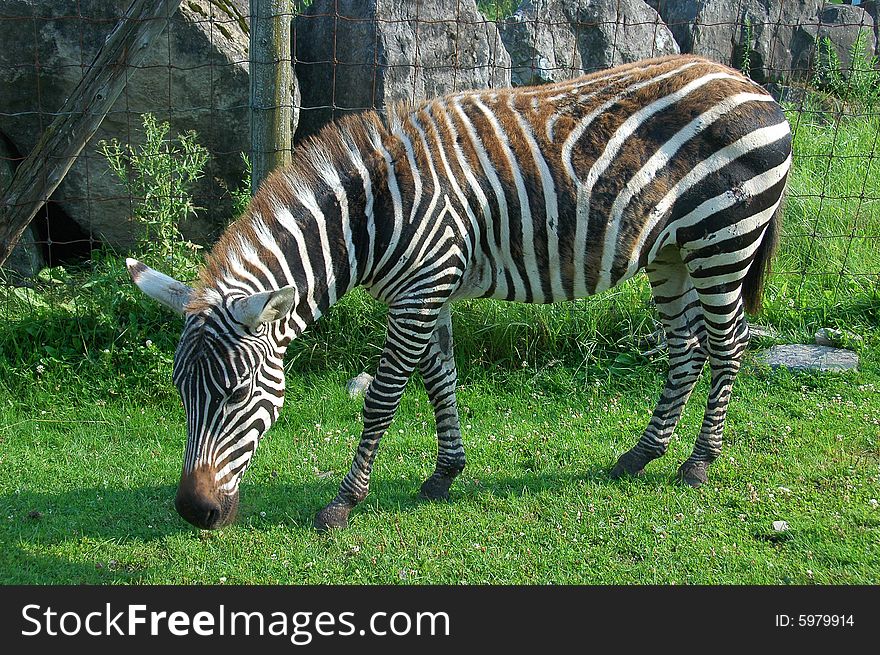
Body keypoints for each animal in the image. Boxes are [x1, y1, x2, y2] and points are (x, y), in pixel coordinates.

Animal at [127, 53, 796, 532]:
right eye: (180, 392)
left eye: (237, 394)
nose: (194, 513)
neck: (372, 214)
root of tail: (748, 82)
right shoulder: (430, 289)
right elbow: (439, 380)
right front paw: (445, 473)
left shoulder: (421, 290)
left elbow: (384, 399)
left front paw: (344, 503)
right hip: (671, 252)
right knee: (685, 348)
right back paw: (641, 453)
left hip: (722, 239)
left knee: (728, 345)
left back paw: (698, 462)